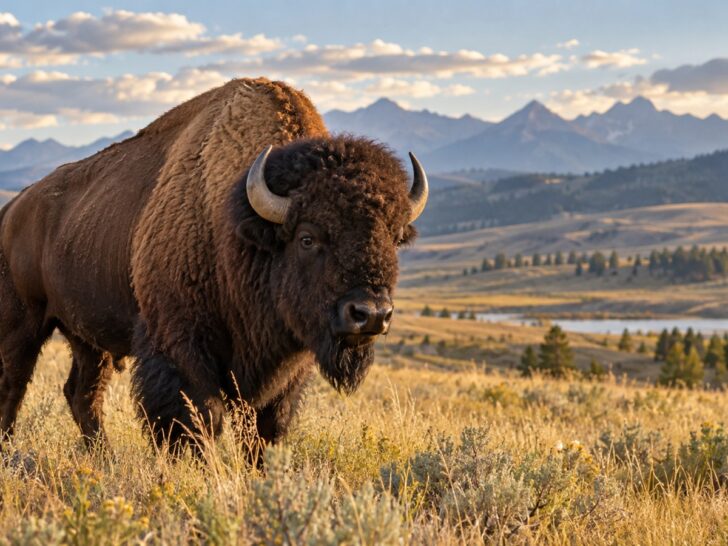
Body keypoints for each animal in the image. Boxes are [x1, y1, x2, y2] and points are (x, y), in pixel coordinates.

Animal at [0, 77, 427, 455]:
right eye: (307, 237)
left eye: (393, 237)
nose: (371, 314)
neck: (237, 222)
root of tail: (14, 208)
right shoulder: (180, 346)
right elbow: (199, 420)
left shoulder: (286, 368)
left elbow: (266, 428)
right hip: (24, 325)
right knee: (14, 384)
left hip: (88, 339)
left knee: (82, 394)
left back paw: (103, 458)